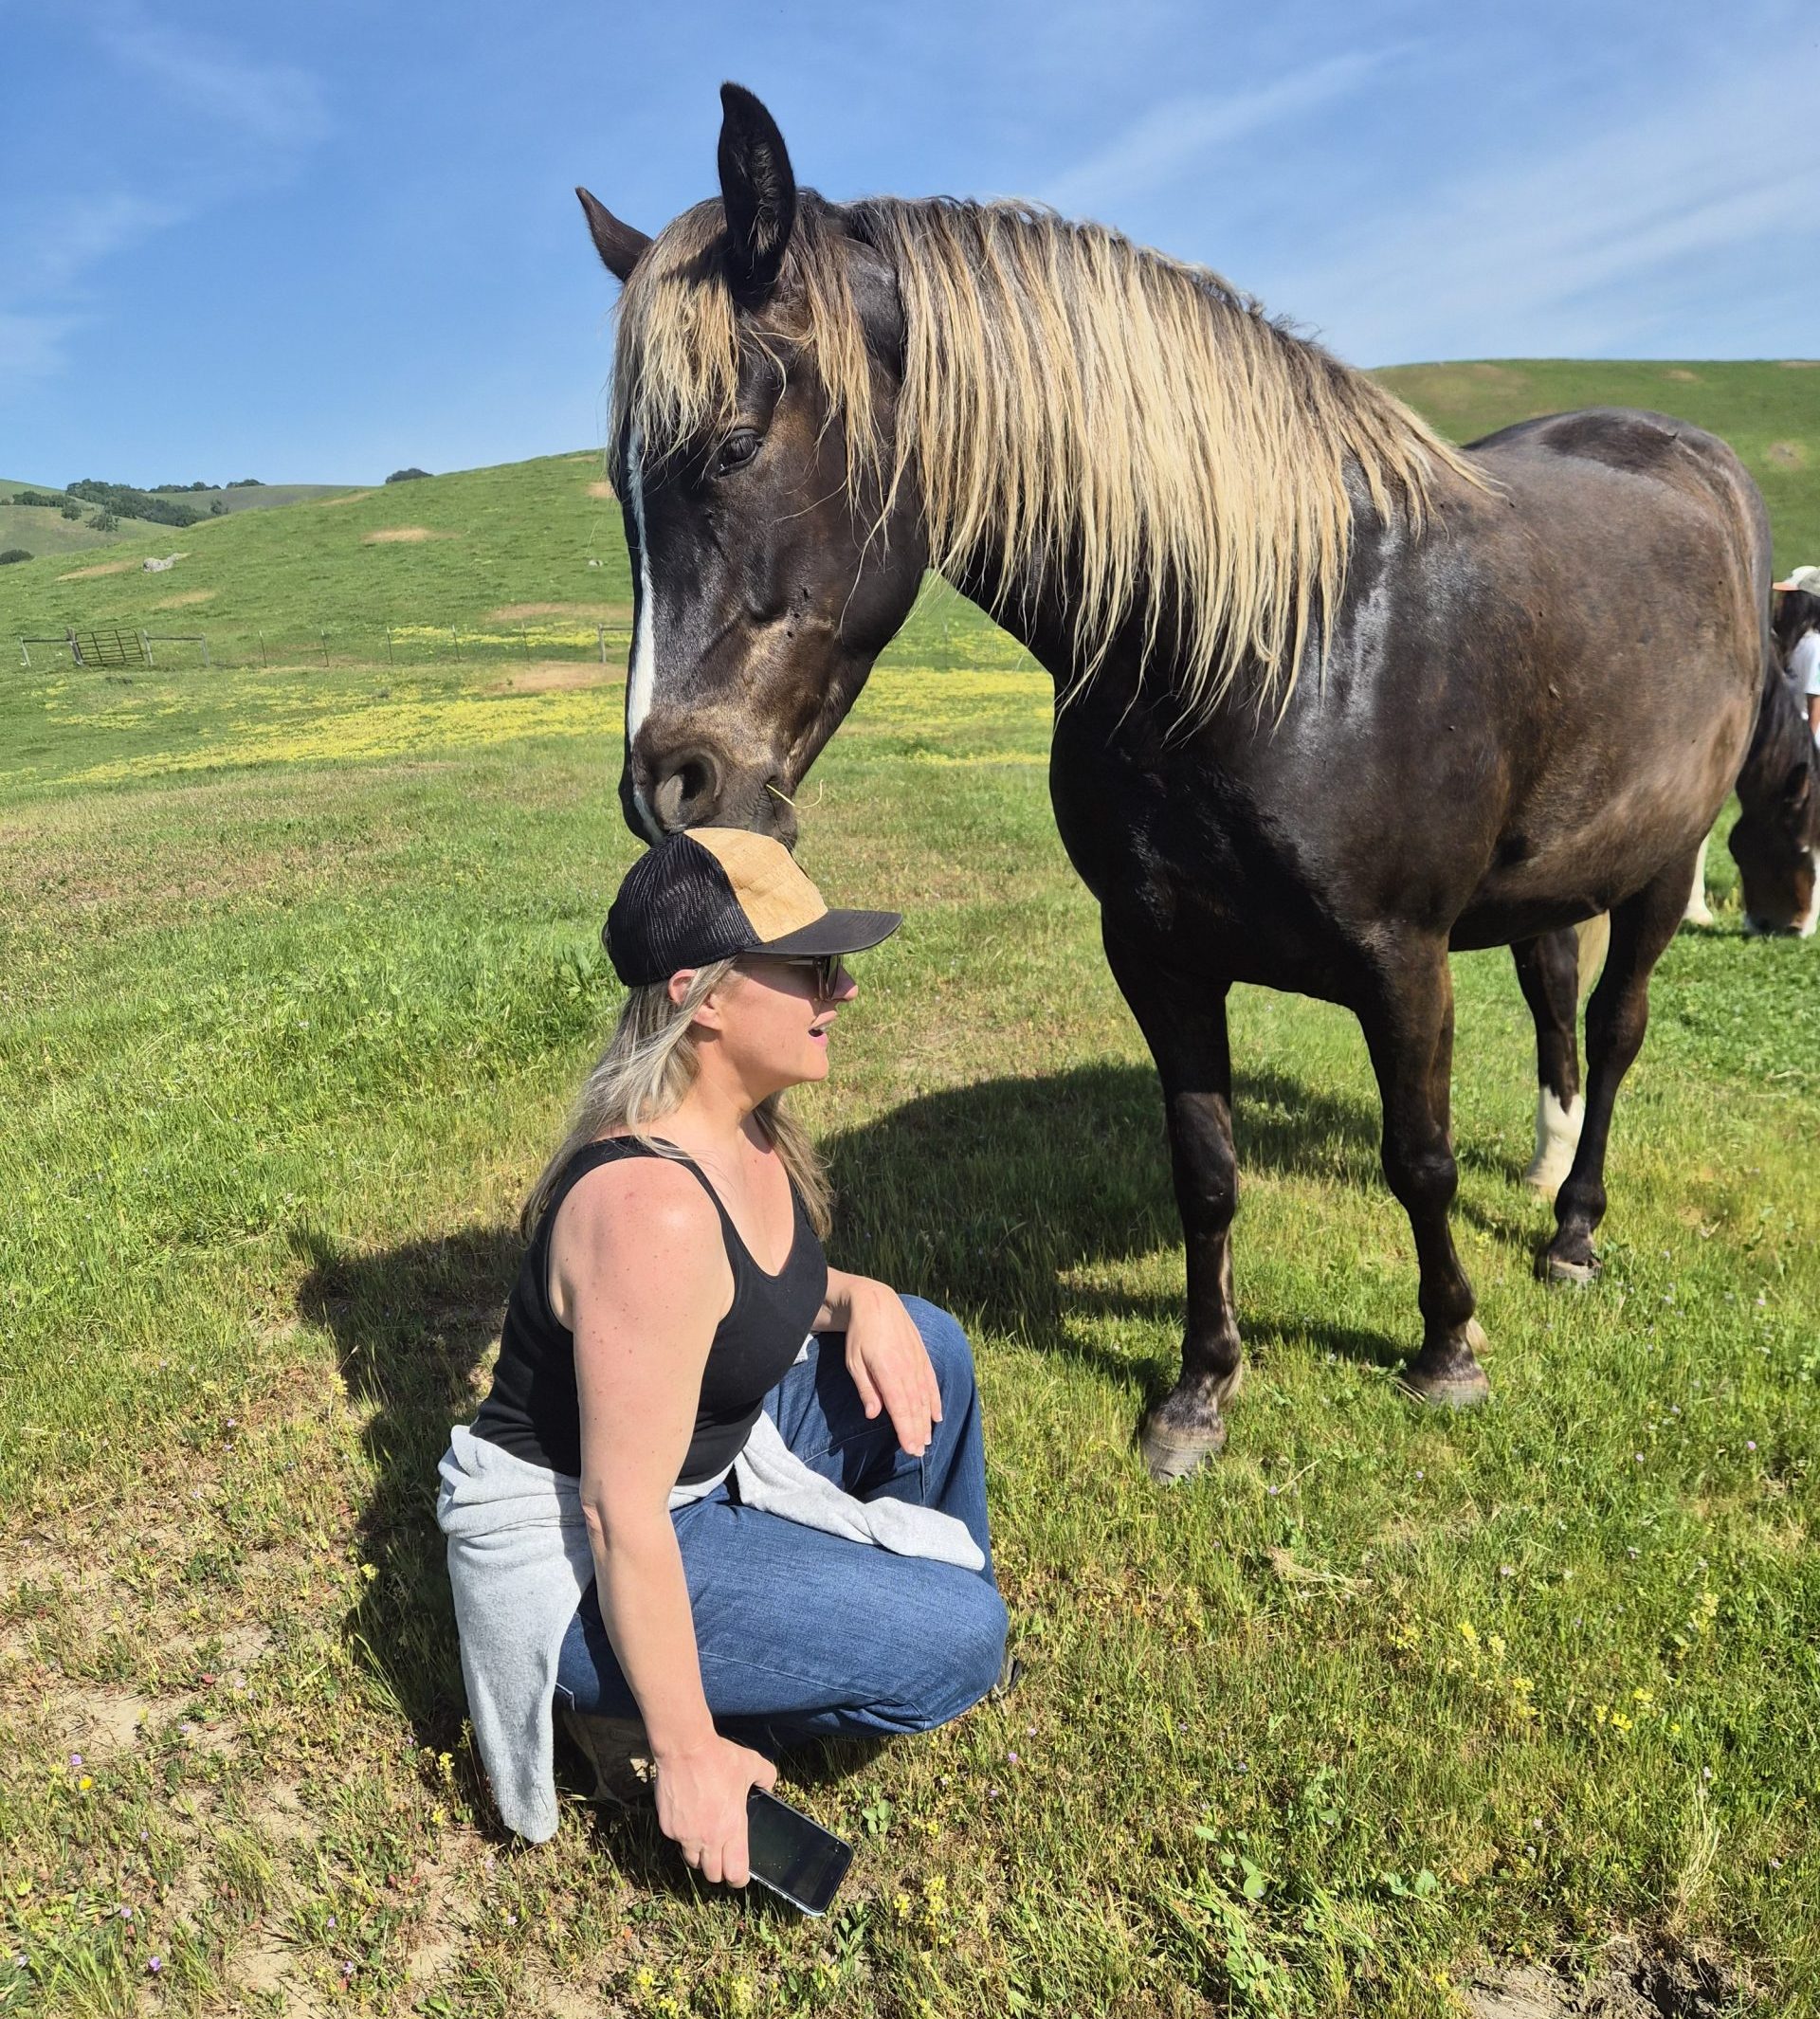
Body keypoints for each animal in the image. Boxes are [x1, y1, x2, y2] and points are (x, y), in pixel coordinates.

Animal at [577, 84, 1777, 1476]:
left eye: (728, 446)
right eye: (618, 489)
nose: (666, 786)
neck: (1270, 646)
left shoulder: (1403, 959)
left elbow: (1417, 1157)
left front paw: (1445, 1350)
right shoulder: (1158, 954)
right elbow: (1205, 1169)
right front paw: (1201, 1389)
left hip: (1660, 867)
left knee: (1617, 1027)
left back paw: (1572, 1226)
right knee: (1554, 995)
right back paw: (1540, 1173)